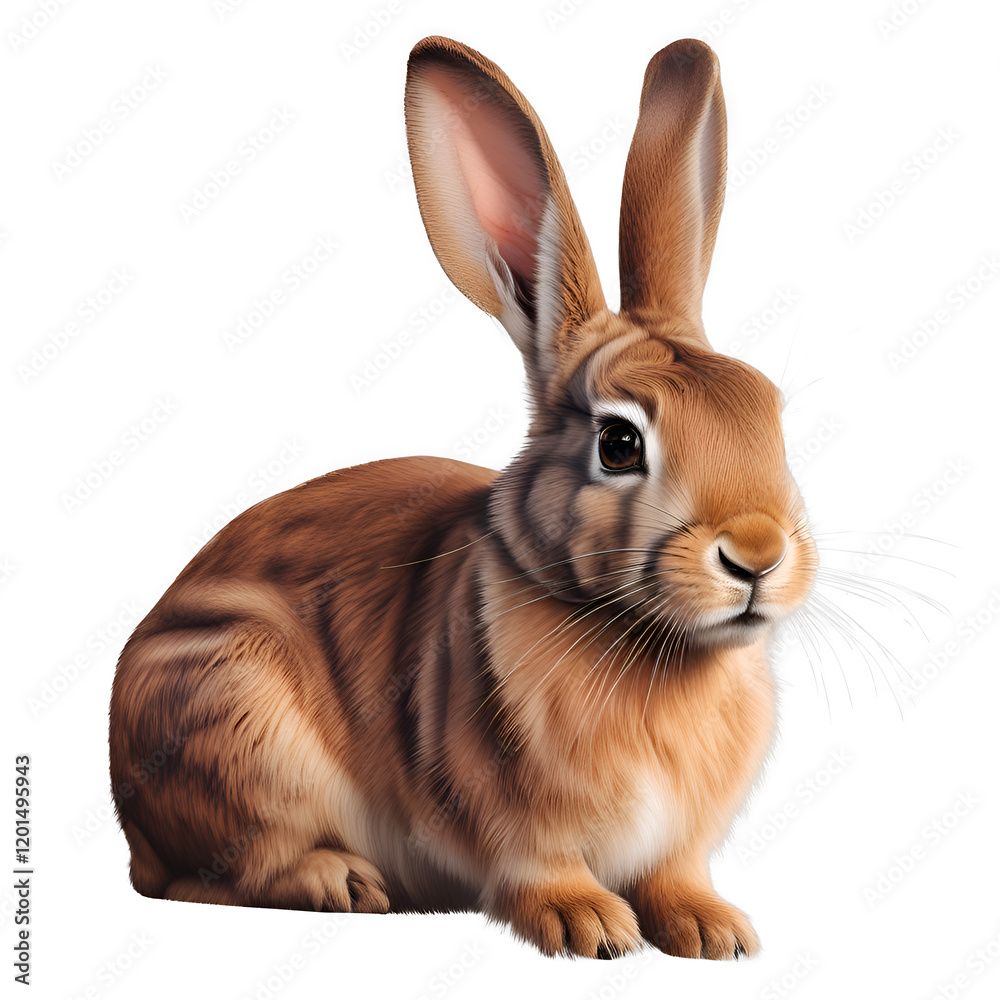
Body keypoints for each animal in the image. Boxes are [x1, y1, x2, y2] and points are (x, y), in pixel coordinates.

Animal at [109, 35, 818, 960]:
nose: (758, 554)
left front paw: (713, 930)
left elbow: (675, 874)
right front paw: (590, 927)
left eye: (771, 415)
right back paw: (341, 883)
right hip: (234, 716)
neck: (647, 645)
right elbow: (536, 866)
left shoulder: (679, 839)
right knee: (215, 874)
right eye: (619, 443)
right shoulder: (505, 813)